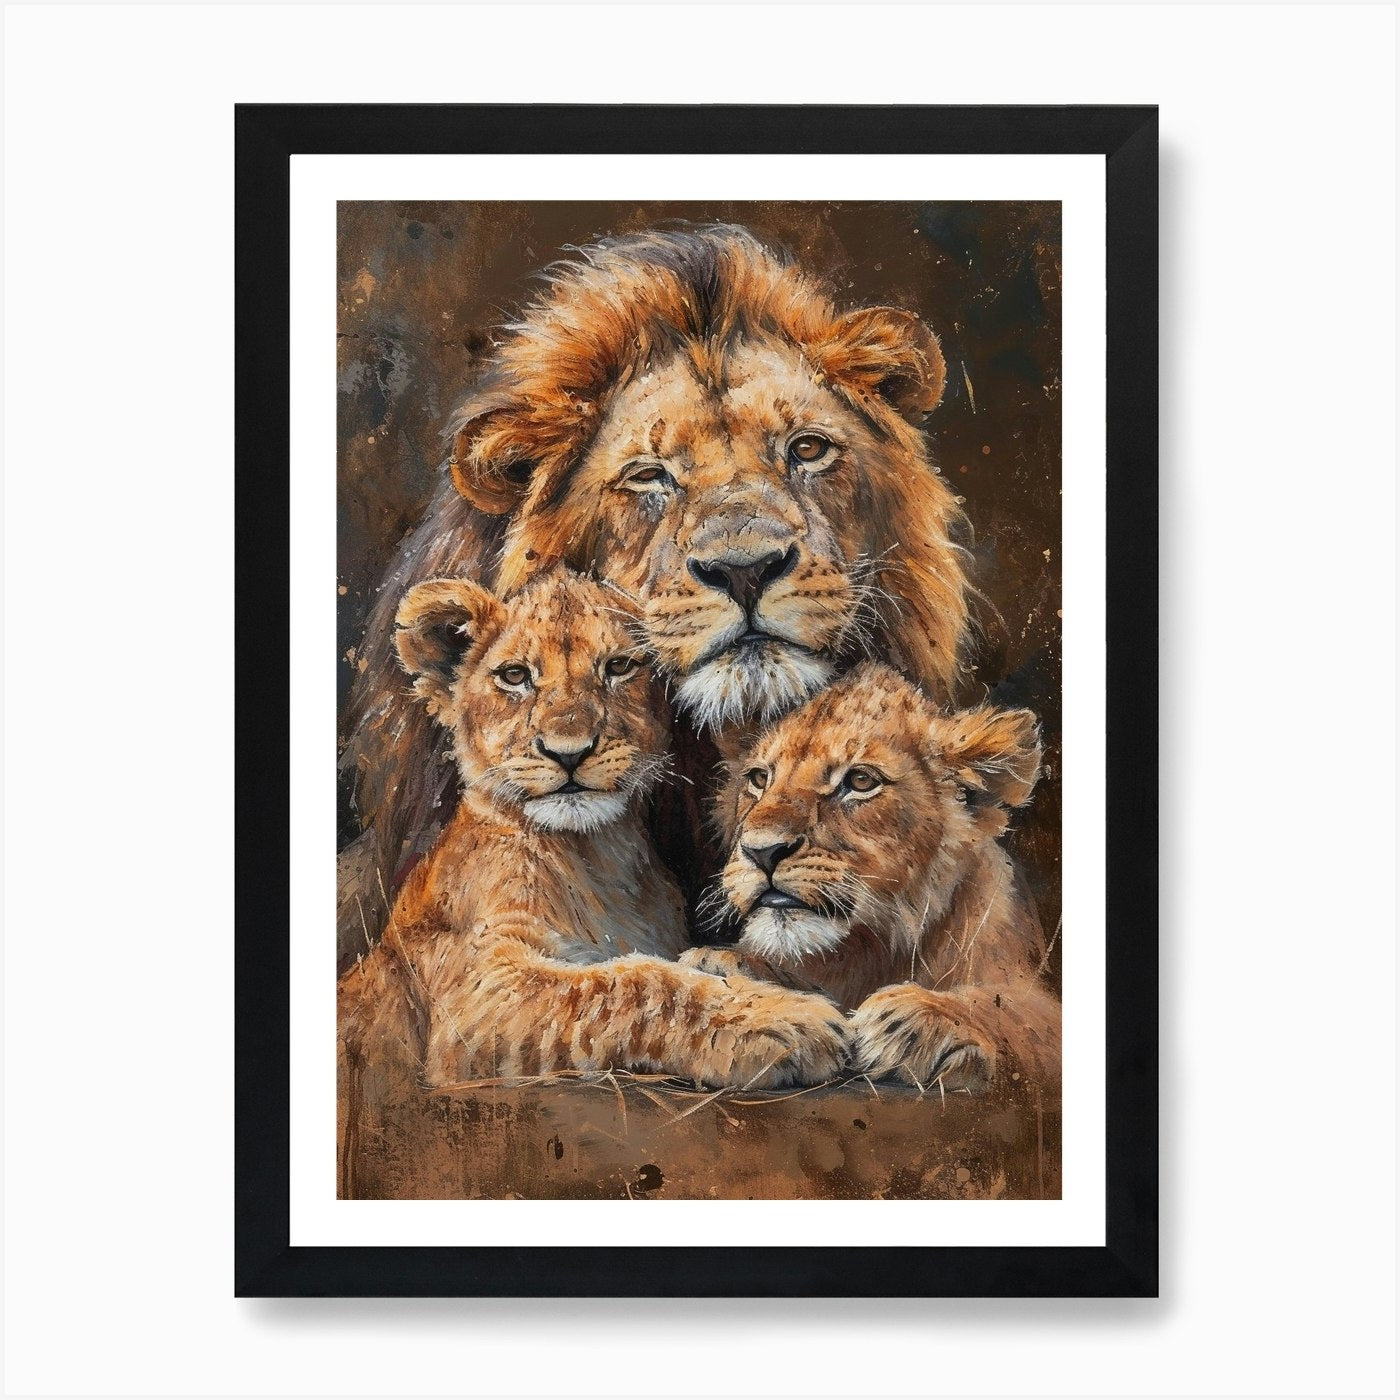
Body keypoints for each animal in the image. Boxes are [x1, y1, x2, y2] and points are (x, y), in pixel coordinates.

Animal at [337, 565, 850, 1157]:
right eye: (515, 676)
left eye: (619, 667)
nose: (569, 752)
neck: (597, 857)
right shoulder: (474, 998)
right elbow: (630, 983)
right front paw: (781, 1019)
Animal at [700, 662, 1061, 1095]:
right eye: (759, 779)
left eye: (860, 781)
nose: (762, 851)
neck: (873, 950)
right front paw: (723, 962)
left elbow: (1016, 1011)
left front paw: (918, 1019)